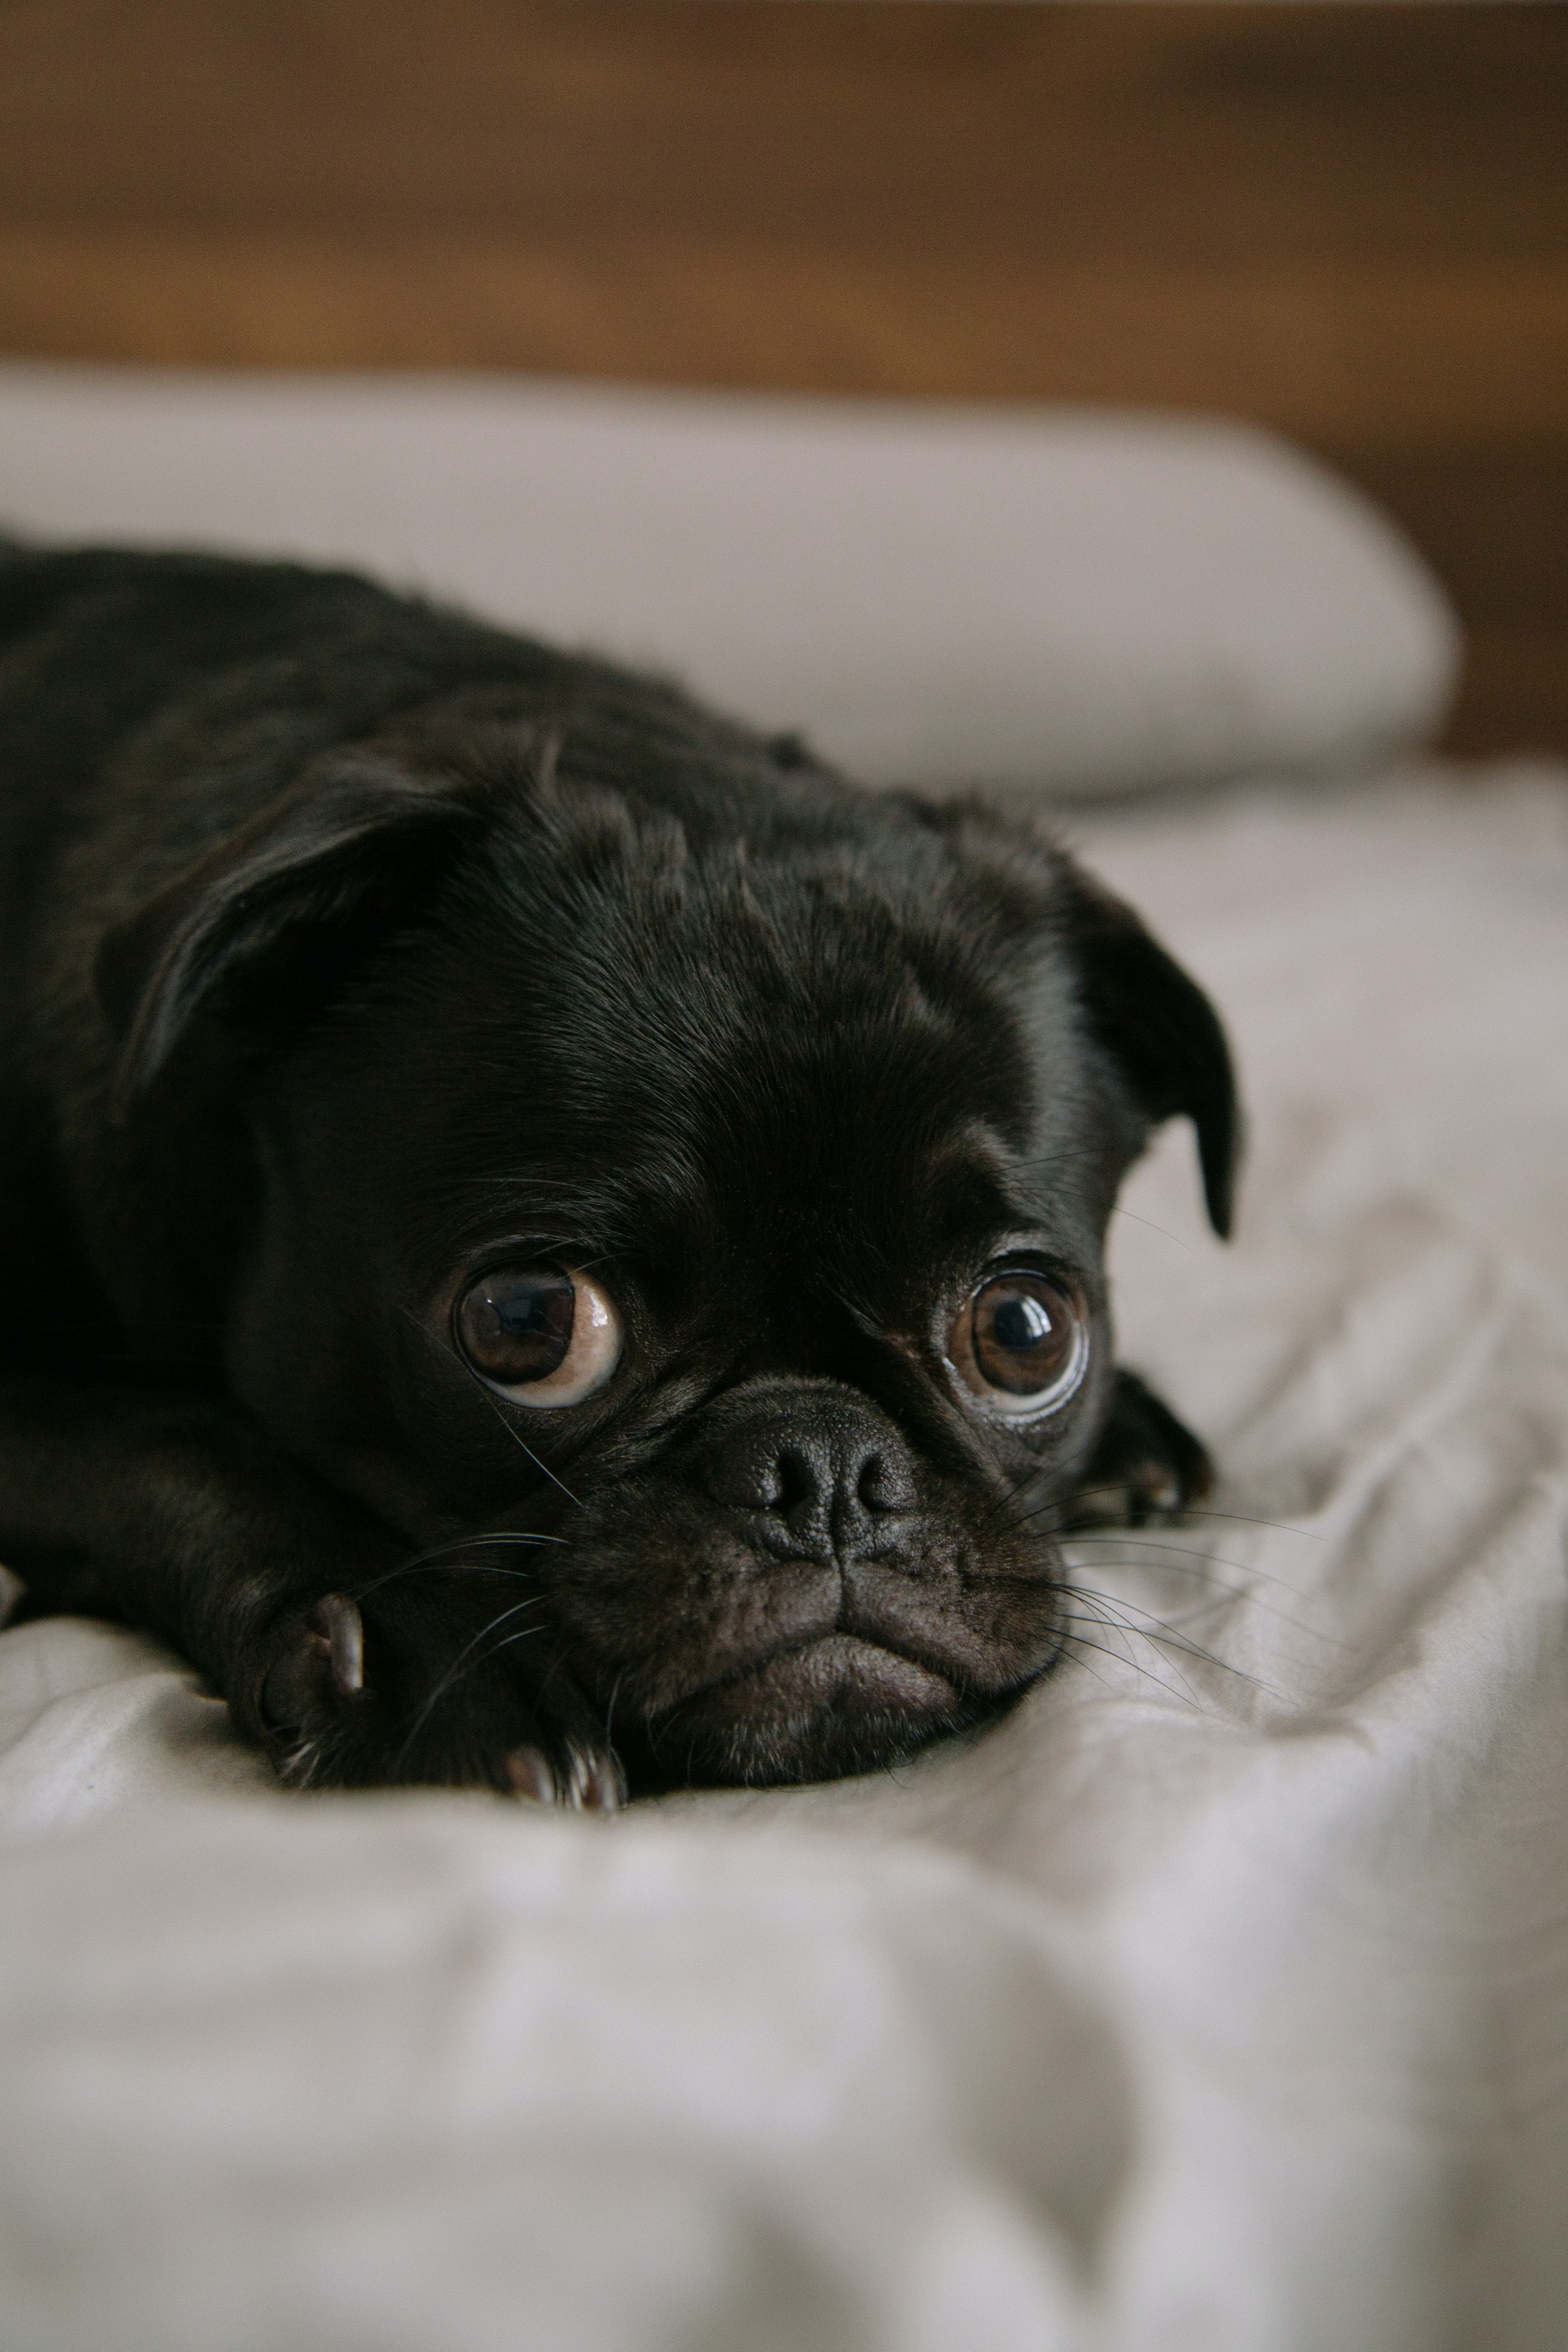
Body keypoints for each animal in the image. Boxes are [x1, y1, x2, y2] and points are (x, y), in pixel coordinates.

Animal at [0, 545, 1241, 1797]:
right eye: (529, 1323)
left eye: (1024, 1331)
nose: (826, 1469)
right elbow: (176, 1442)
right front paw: (421, 1657)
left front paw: (1132, 1430)